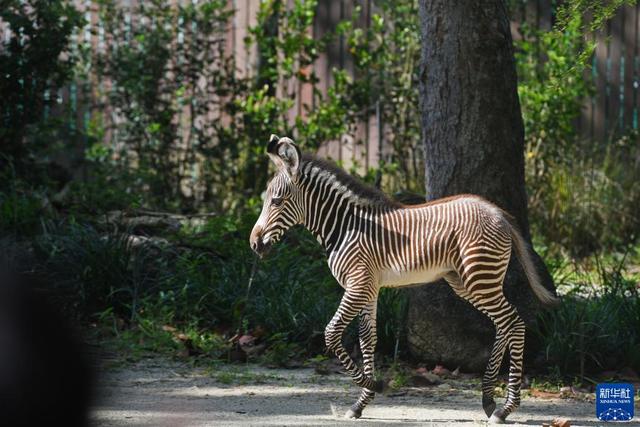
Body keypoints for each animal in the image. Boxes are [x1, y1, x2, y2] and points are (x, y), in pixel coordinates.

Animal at [248, 135, 556, 422]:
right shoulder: (369, 288)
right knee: (504, 324)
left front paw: (377, 385)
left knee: (513, 322)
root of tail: (499, 213)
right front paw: (361, 402)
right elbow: (367, 339)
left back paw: (505, 408)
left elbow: (332, 333)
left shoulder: (357, 285)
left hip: (479, 278)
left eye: (276, 201)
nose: (254, 244)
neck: (346, 227)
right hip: (469, 282)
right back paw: (489, 400)